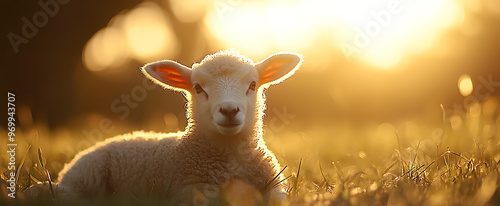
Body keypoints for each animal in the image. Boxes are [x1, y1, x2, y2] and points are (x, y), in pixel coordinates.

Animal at [25, 50, 302, 204]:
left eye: (253, 85)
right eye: (198, 88)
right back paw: (37, 192)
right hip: (86, 175)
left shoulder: (276, 189)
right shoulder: (189, 190)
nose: (229, 111)